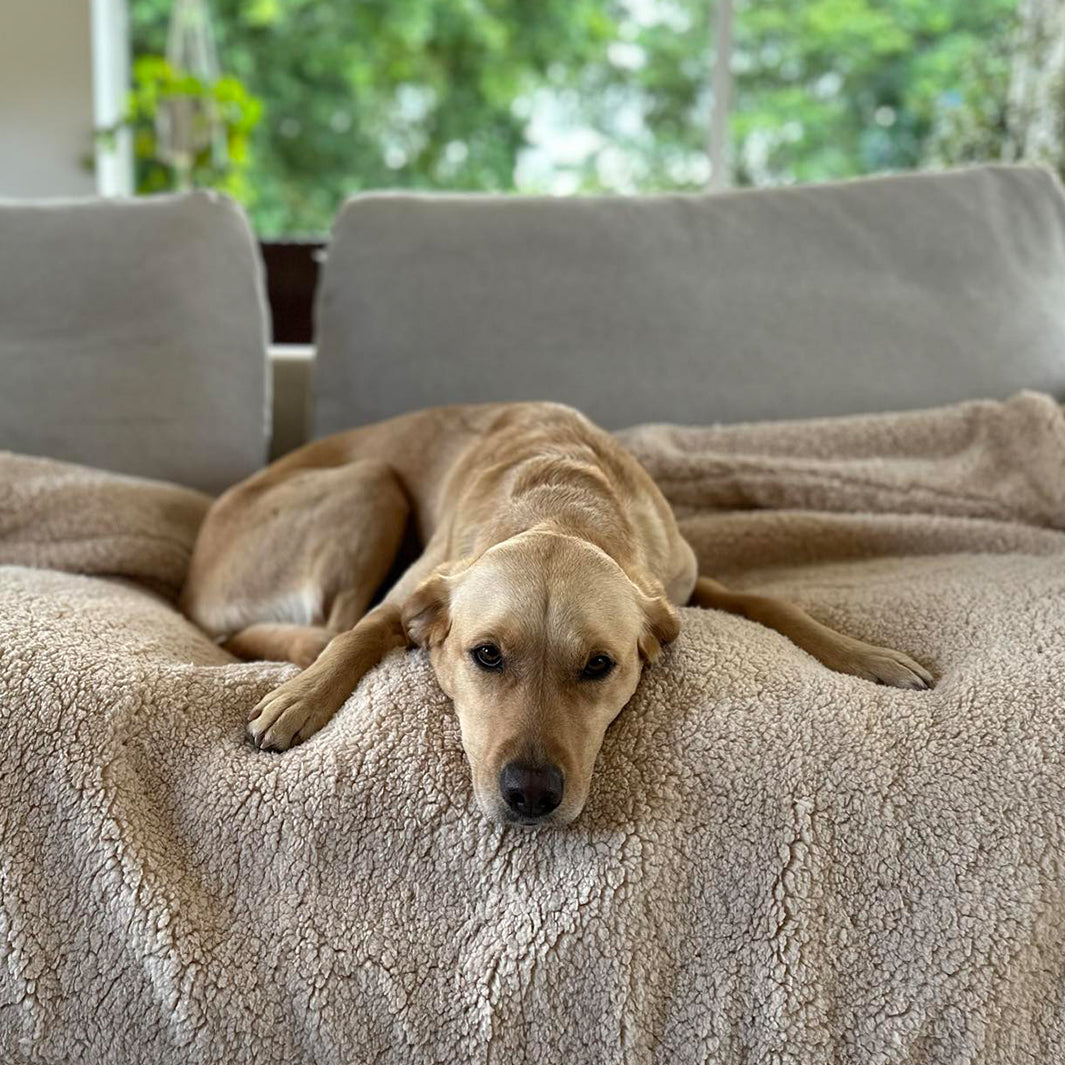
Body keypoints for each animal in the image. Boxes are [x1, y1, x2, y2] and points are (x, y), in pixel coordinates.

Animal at [185, 400, 932, 822]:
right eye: (486, 654)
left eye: (599, 665)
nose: (531, 795)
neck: (559, 499)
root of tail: (191, 581)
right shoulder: (415, 590)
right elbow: (358, 635)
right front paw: (301, 699)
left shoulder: (681, 584)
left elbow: (765, 598)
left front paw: (870, 656)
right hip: (373, 480)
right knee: (331, 624)